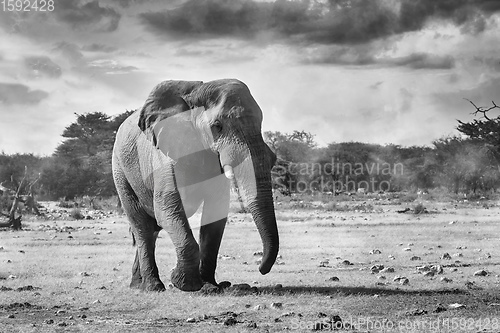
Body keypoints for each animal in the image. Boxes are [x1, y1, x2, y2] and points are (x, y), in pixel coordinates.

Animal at [111, 78, 280, 290]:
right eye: (217, 126)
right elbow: (167, 208)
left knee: (152, 229)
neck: (196, 91)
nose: (261, 268)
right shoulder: (164, 155)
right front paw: (184, 283)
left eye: (260, 123)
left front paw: (211, 286)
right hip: (120, 170)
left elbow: (215, 214)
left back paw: (137, 285)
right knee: (143, 226)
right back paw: (152, 286)